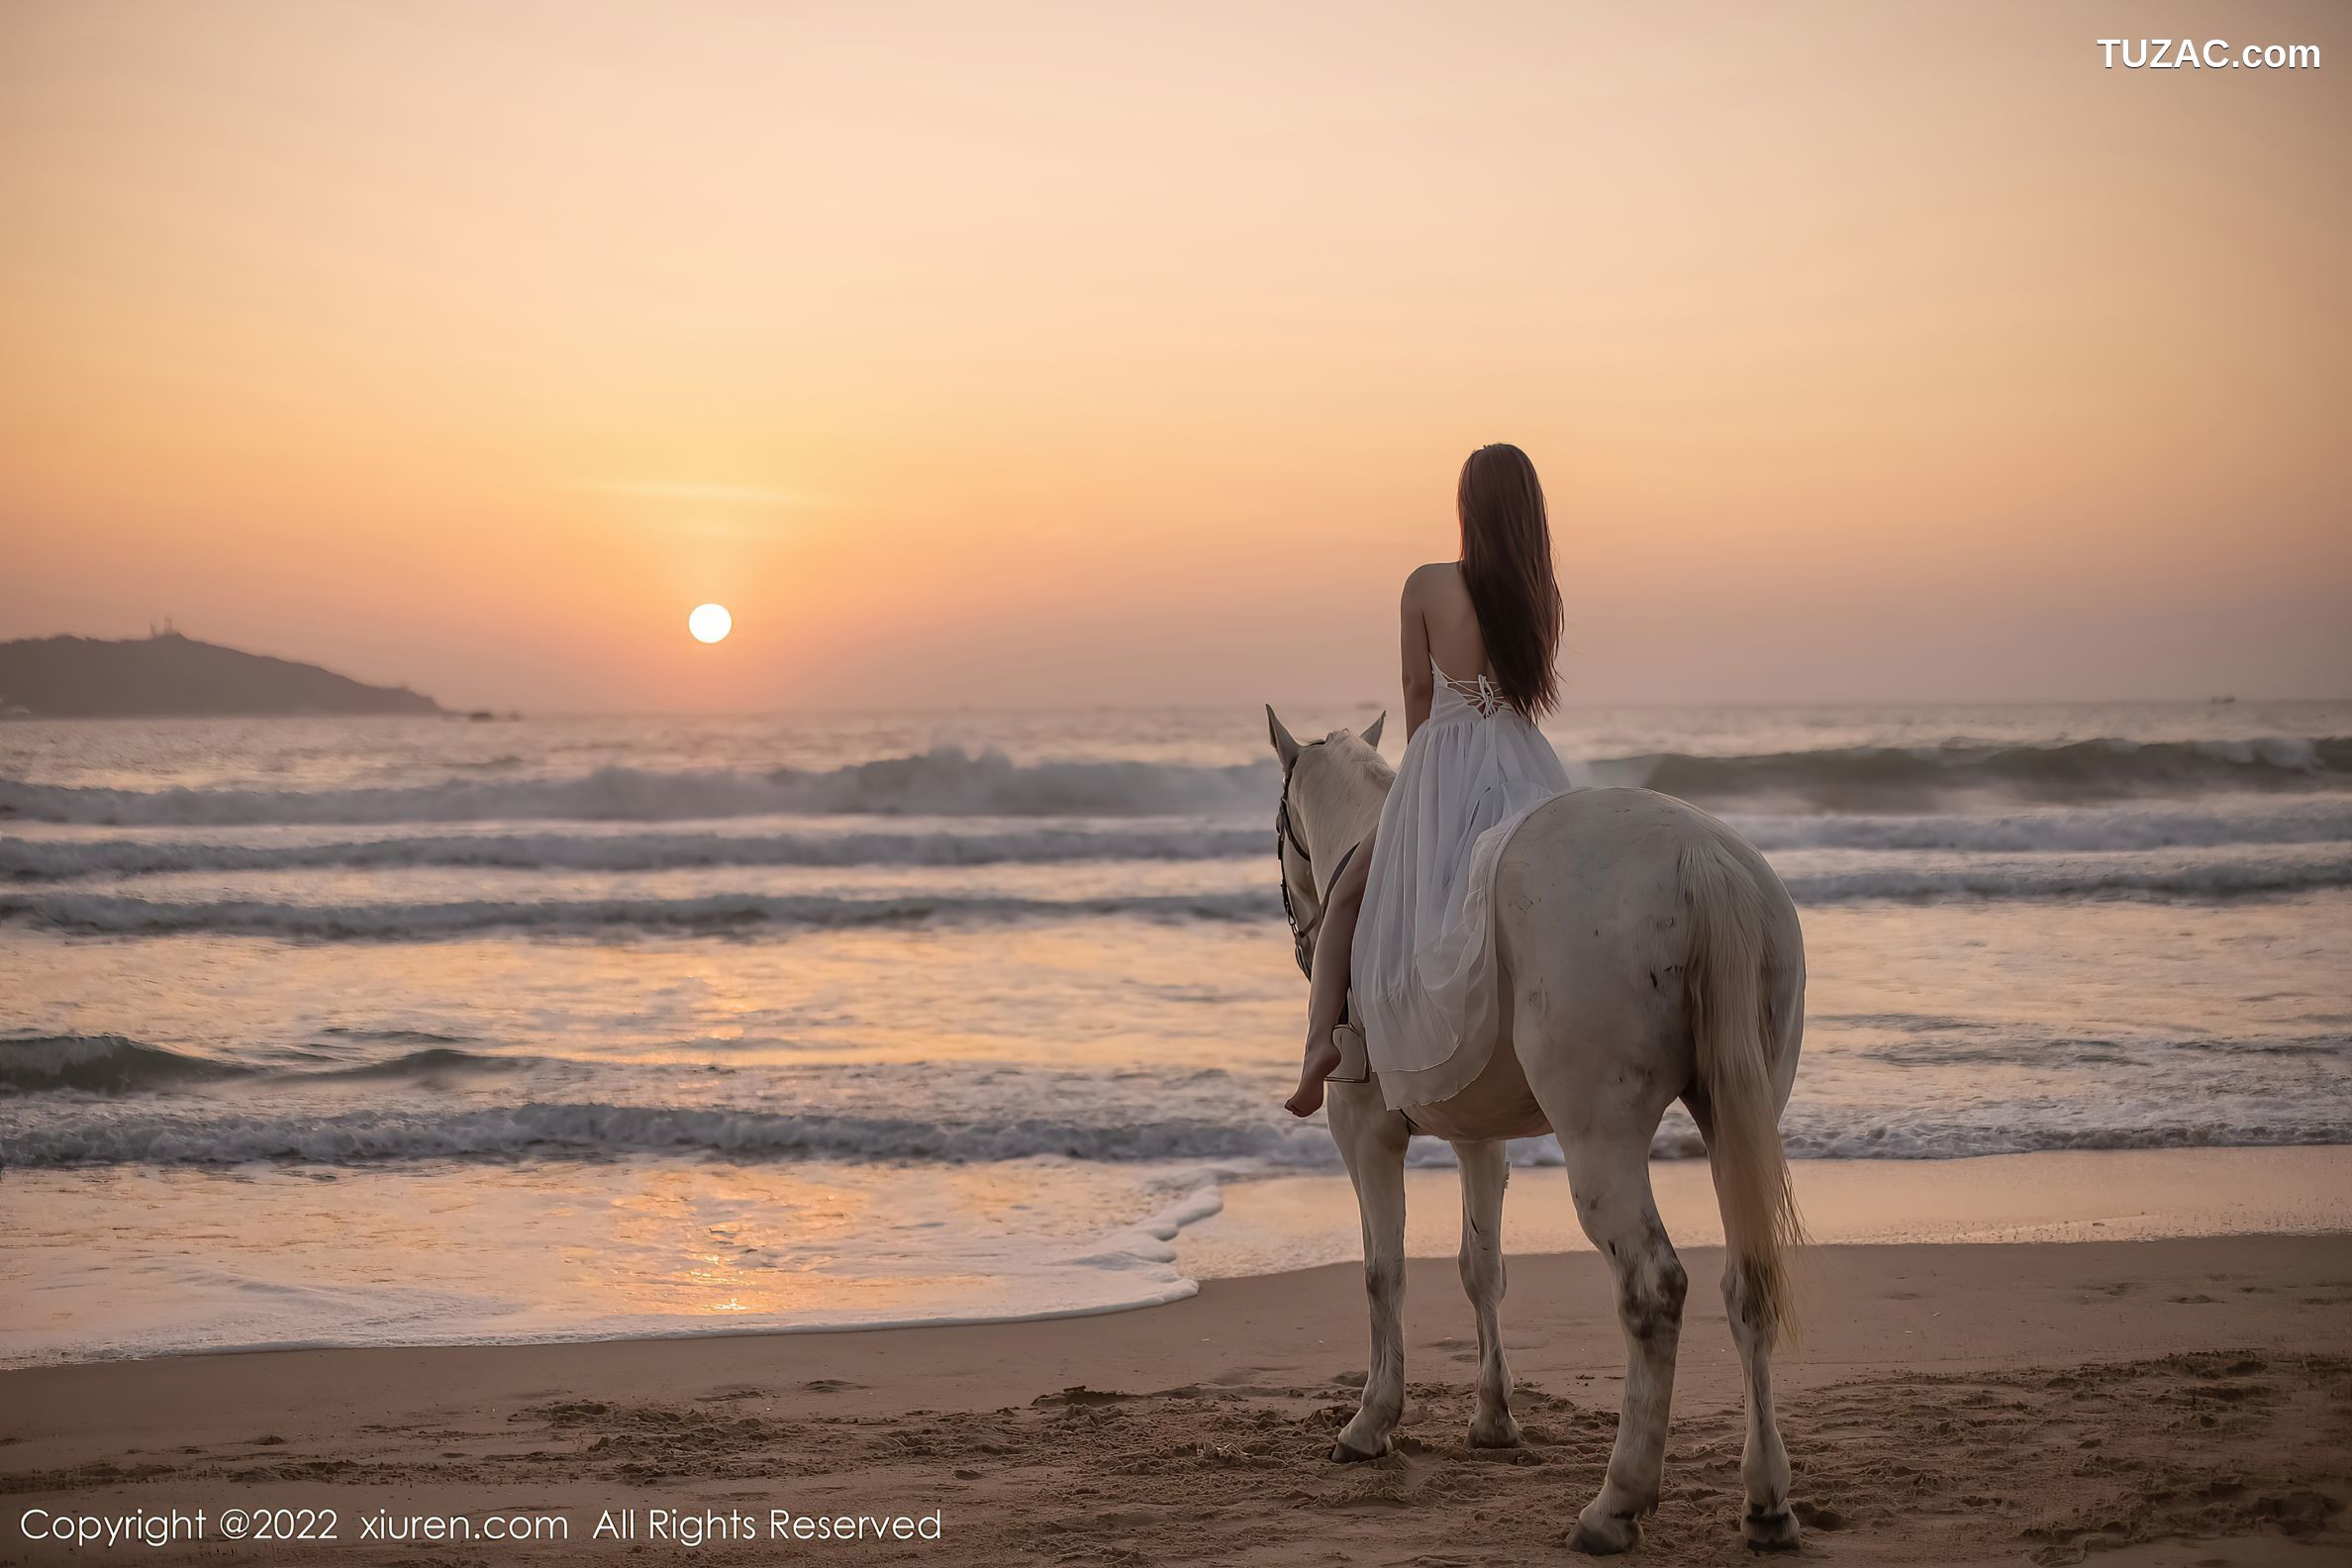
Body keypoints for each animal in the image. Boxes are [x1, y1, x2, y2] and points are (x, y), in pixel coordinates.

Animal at [1270, 714, 1797, 1560]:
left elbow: (1384, 1272)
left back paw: (1616, 1502)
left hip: (1600, 1138)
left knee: (1654, 1288)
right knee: (1747, 1282)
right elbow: (1481, 1269)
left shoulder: (1365, 1132)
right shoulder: (1480, 1141)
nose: (1300, 939)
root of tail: (1700, 856)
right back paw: (1767, 1500)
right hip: (1738, 1116)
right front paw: (1493, 1416)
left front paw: (1372, 1421)